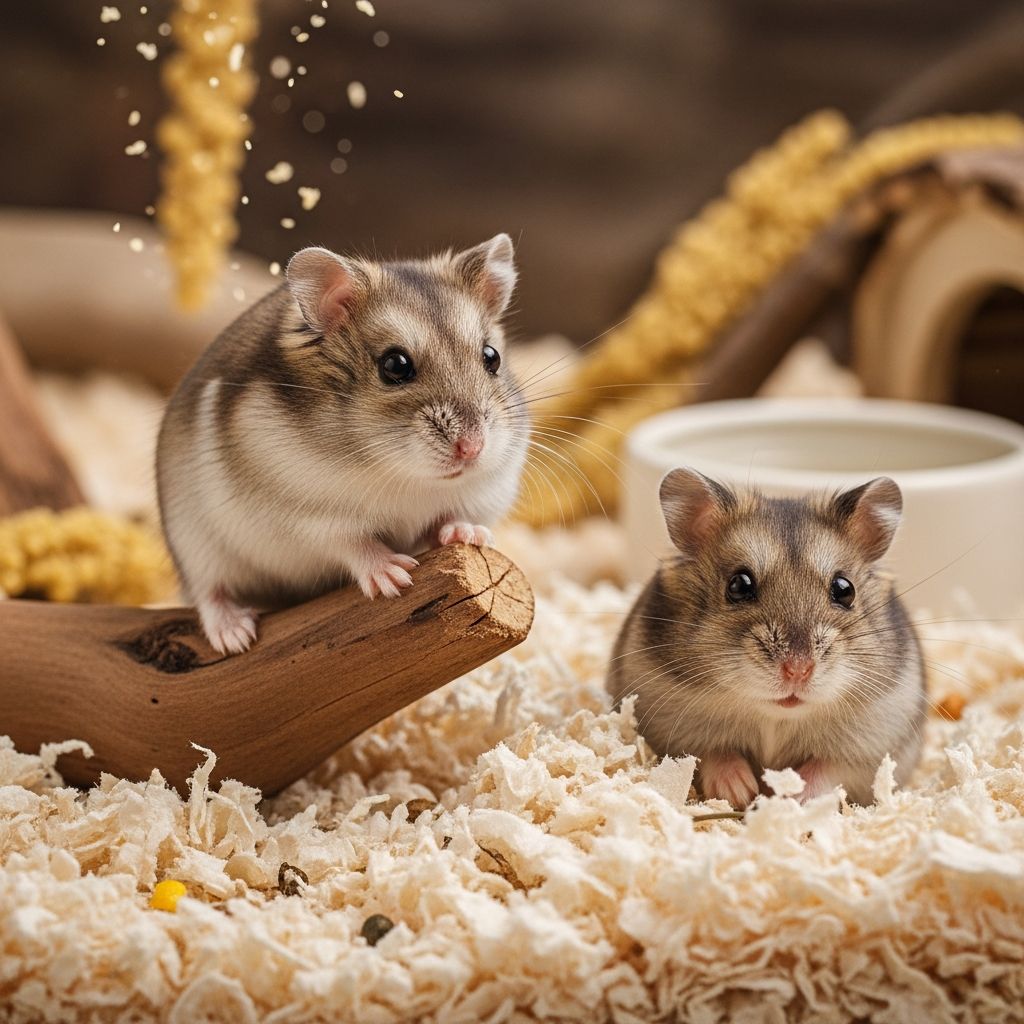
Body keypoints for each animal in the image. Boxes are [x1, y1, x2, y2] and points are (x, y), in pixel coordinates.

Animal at [157, 234, 528, 655]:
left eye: (491, 357)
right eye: (395, 366)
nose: (472, 448)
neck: (403, 473)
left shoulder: (482, 494)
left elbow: (449, 518)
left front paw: (471, 535)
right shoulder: (308, 518)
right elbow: (353, 542)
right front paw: (394, 577)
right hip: (194, 543)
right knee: (209, 591)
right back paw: (234, 635)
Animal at [607, 468, 926, 808]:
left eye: (844, 589)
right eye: (739, 585)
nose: (797, 670)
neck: (775, 716)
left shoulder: (871, 747)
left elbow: (827, 768)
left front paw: (788, 796)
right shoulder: (672, 731)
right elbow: (712, 753)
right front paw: (741, 791)